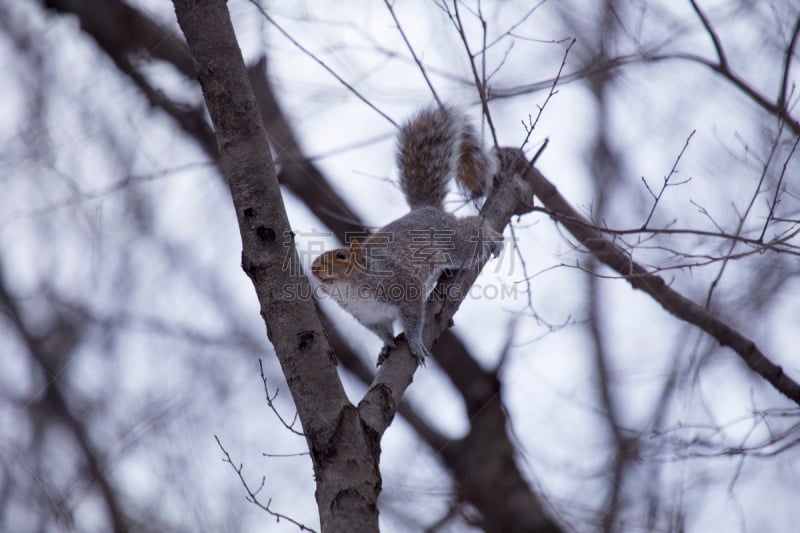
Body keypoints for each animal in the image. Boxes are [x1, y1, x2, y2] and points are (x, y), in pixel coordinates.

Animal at [310, 106, 504, 364]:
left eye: (341, 256)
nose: (314, 268)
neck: (355, 291)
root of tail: (425, 209)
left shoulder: (404, 287)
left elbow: (413, 320)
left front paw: (414, 343)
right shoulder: (370, 318)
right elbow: (383, 333)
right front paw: (387, 346)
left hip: (456, 245)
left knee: (472, 229)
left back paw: (492, 237)